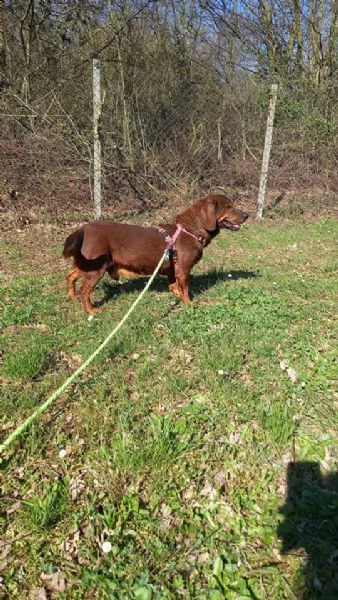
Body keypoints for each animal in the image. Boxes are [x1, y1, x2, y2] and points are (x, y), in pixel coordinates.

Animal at [62, 195, 248, 316]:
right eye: (229, 207)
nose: (247, 215)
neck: (190, 230)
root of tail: (83, 229)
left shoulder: (173, 269)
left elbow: (175, 287)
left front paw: (178, 298)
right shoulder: (183, 268)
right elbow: (185, 289)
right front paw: (189, 304)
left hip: (88, 265)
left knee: (70, 276)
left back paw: (72, 297)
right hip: (96, 269)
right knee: (85, 290)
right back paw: (91, 310)